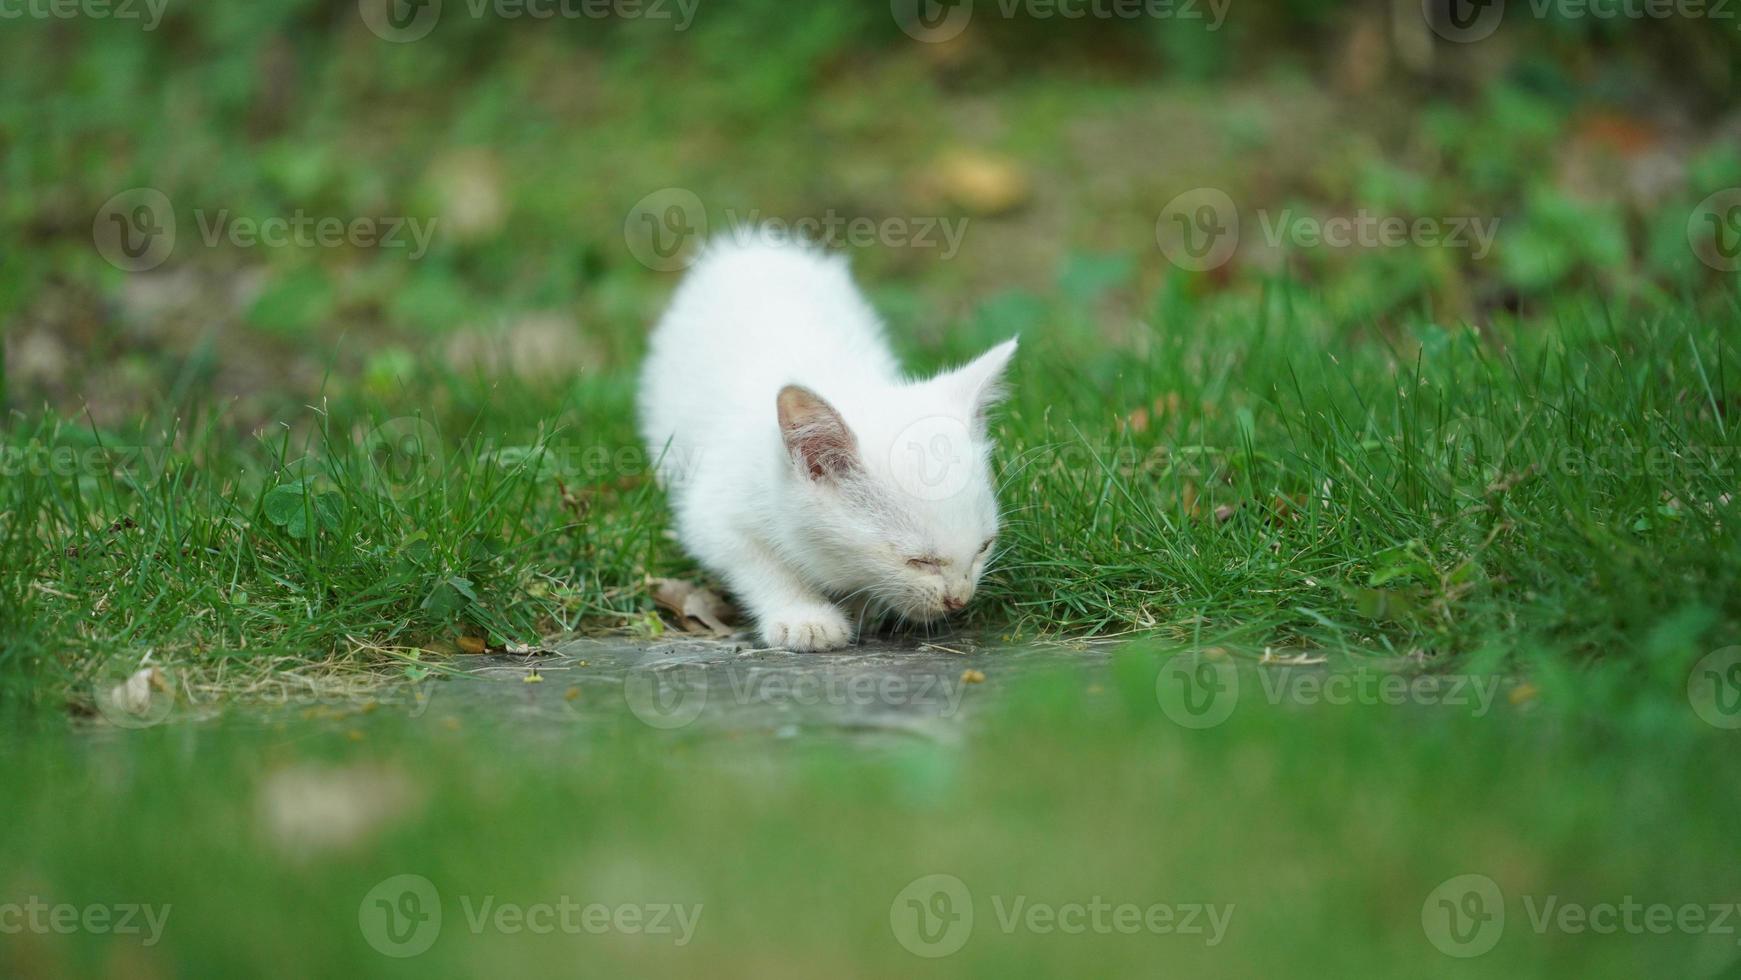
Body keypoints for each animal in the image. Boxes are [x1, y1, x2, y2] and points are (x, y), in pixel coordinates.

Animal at [640, 236, 1016, 651]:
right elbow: (758, 563)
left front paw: (861, 607)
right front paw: (804, 617)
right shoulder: (716, 513)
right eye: (919, 561)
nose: (959, 600)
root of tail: (754, 245)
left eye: (984, 547)